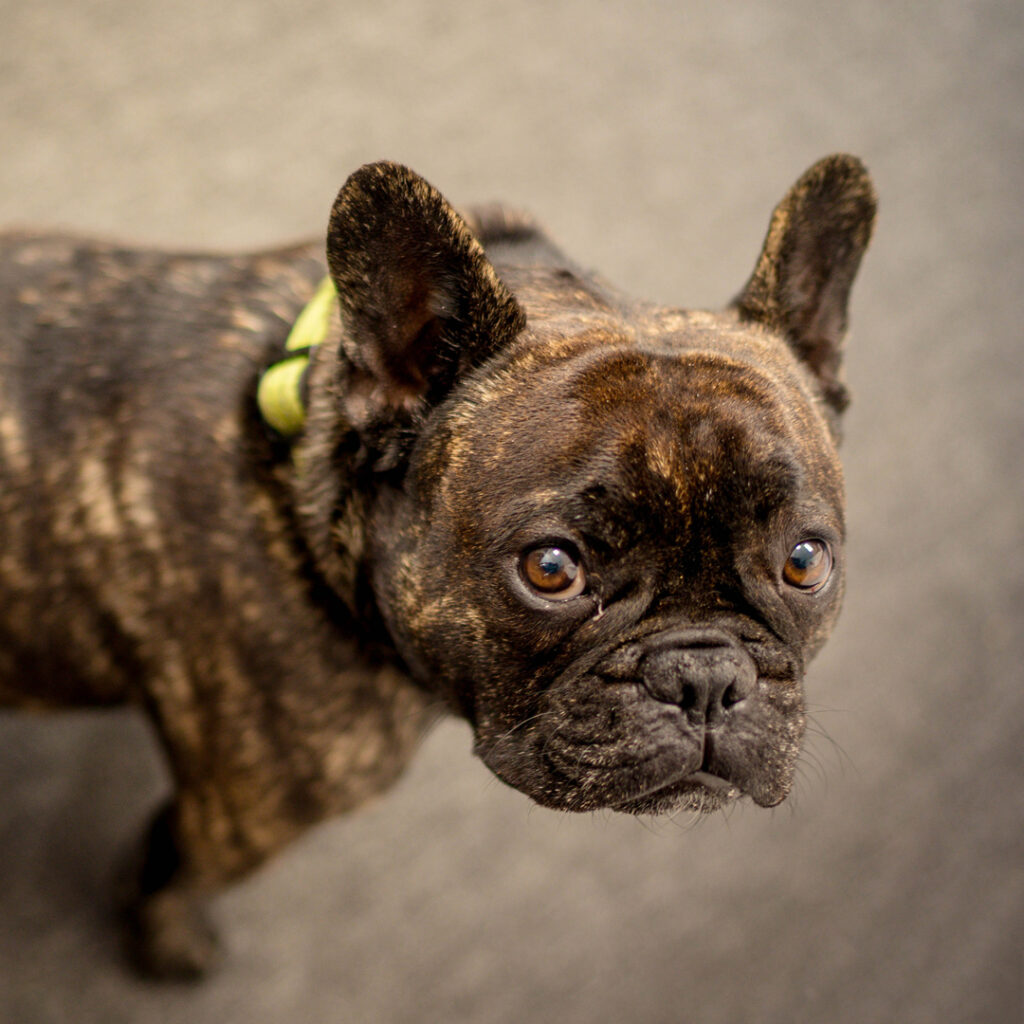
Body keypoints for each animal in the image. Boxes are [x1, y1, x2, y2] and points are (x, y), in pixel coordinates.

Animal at [2, 151, 872, 974]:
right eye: (552, 569)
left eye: (805, 562)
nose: (704, 678)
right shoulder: (238, 817)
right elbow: (169, 872)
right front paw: (169, 942)